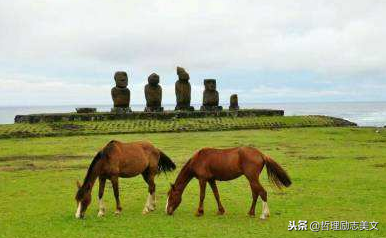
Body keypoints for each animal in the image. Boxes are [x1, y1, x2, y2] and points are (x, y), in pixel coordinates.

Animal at [164, 146, 292, 218]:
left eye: (171, 197)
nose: (167, 211)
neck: (199, 159)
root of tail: (261, 154)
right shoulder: (211, 180)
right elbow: (216, 195)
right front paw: (221, 211)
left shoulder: (202, 179)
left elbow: (202, 196)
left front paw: (199, 212)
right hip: (252, 179)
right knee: (256, 194)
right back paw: (251, 213)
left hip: (252, 178)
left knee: (263, 192)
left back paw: (264, 214)